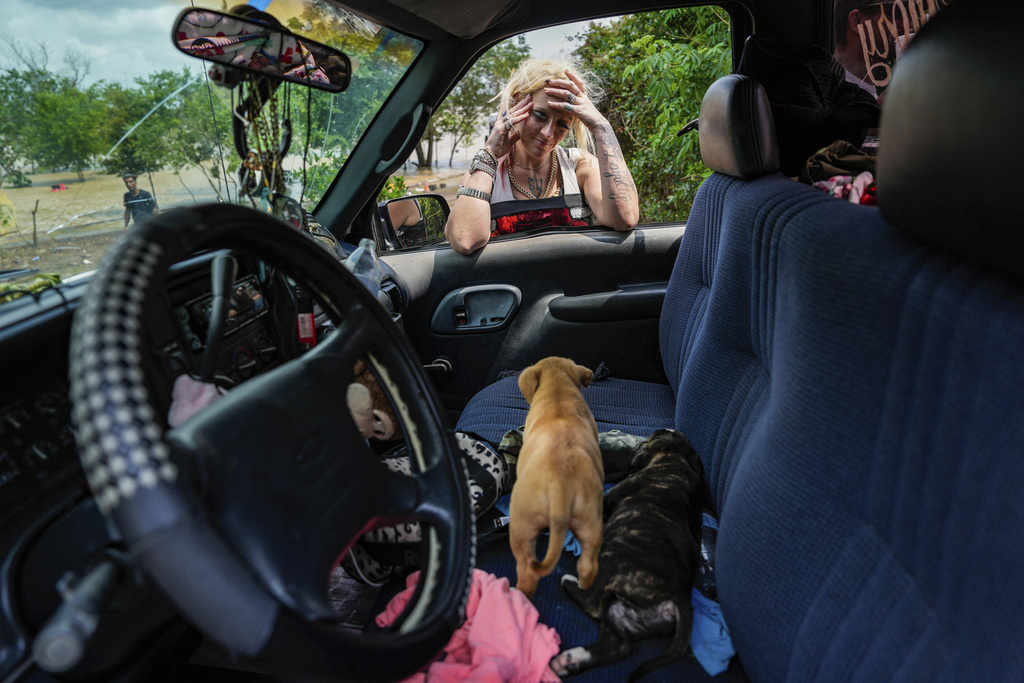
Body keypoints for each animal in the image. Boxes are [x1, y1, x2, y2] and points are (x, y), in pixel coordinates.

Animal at [509, 356, 602, 602]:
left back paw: (518, 593)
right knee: (589, 565)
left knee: (527, 570)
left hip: (521, 525)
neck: (558, 391)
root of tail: (561, 486)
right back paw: (579, 584)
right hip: (590, 521)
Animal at [552, 430, 704, 679]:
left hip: (611, 559)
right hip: (620, 612)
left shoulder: (610, 497)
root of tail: (680, 597)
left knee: (593, 605)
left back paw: (569, 582)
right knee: (620, 646)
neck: (673, 457)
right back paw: (569, 660)